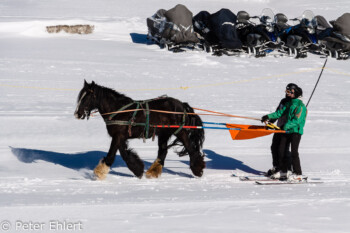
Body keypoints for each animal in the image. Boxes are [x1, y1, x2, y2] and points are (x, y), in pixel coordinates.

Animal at [74, 81, 205, 179]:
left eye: (87, 97)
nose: (77, 114)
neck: (119, 111)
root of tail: (182, 105)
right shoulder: (120, 136)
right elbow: (125, 154)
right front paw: (138, 170)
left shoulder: (118, 136)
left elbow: (112, 154)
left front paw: (99, 173)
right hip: (164, 133)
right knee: (163, 152)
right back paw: (152, 172)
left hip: (180, 132)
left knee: (191, 149)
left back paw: (198, 170)